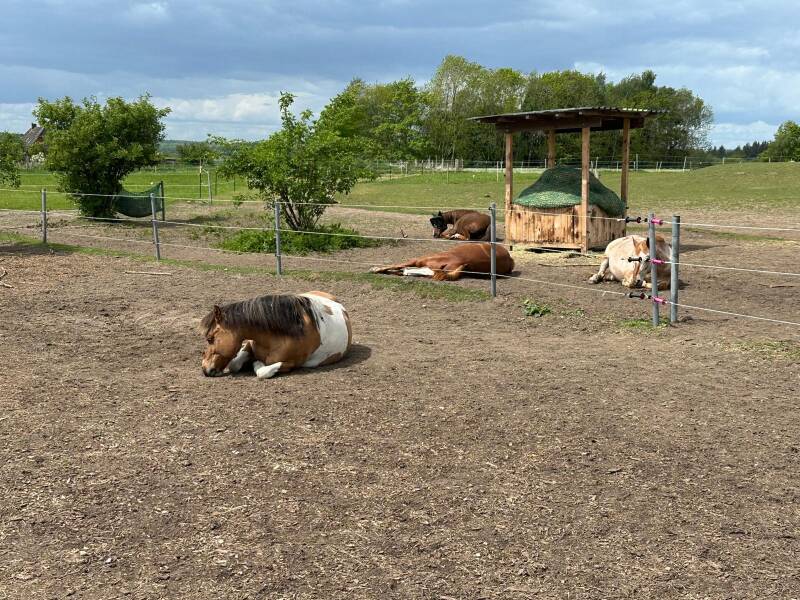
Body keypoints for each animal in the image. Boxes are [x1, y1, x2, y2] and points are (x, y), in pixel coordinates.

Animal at [201, 291, 352, 379]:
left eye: (210, 339)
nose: (204, 369)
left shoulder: (292, 363)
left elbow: (263, 371)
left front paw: (257, 363)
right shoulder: (249, 343)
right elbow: (234, 364)